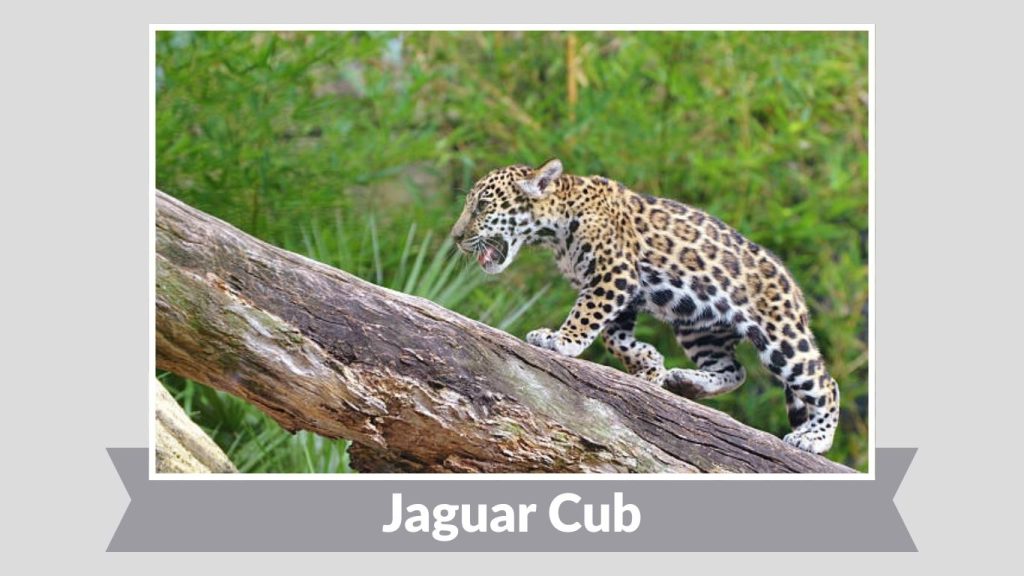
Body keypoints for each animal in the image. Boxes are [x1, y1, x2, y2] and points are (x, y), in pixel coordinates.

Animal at [449, 158, 840, 455]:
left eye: (482, 205)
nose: (455, 237)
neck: (556, 225)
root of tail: (794, 288)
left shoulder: (614, 275)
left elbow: (585, 316)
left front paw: (562, 340)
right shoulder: (622, 296)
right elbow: (614, 339)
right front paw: (650, 365)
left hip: (779, 334)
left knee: (824, 382)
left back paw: (814, 438)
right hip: (700, 329)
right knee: (734, 369)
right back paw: (686, 382)